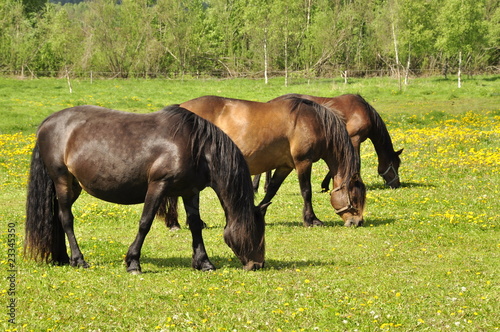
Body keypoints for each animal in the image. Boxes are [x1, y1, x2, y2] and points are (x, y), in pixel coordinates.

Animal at [24, 105, 266, 274]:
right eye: (256, 232)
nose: (258, 264)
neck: (195, 146)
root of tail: (47, 123)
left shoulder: (190, 191)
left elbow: (196, 226)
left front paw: (204, 262)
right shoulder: (158, 185)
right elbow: (145, 223)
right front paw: (133, 262)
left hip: (74, 186)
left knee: (58, 217)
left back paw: (62, 258)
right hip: (62, 180)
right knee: (66, 218)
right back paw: (78, 259)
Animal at [174, 94, 366, 227]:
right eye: (355, 198)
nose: (357, 222)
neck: (314, 122)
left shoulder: (285, 166)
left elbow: (272, 189)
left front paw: (258, 212)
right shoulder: (303, 162)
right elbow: (306, 191)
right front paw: (311, 220)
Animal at [260, 93, 404, 192]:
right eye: (395, 165)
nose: (397, 184)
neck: (364, 112)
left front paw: (326, 185)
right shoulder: (355, 138)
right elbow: (356, 160)